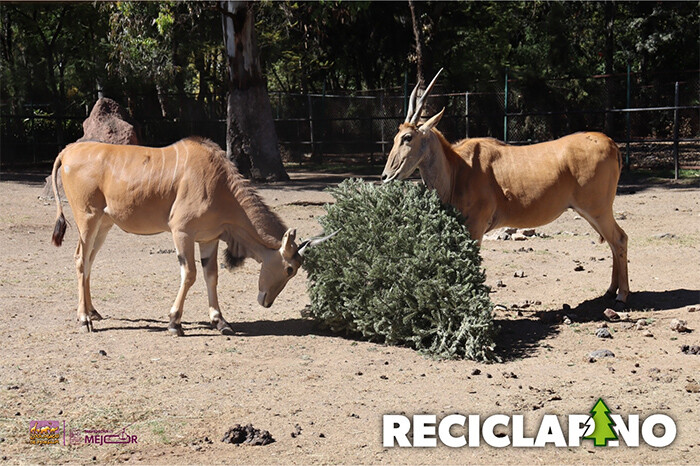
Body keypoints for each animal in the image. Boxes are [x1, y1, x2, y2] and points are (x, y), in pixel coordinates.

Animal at [49, 136, 334, 334]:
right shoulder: (182, 232)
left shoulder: (208, 238)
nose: (266, 302)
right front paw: (174, 323)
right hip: (87, 219)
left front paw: (220, 321)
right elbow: (190, 274)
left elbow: (211, 275)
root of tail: (67, 151)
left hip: (104, 225)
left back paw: (93, 312)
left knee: (89, 262)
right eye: (289, 269)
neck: (220, 184)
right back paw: (84, 319)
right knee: (80, 259)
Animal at [382, 69, 628, 306]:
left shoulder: (476, 226)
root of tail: (611, 144)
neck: (458, 168)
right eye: (395, 137)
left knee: (619, 239)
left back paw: (622, 294)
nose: (385, 176)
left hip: (598, 210)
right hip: (591, 213)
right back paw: (610, 290)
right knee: (614, 242)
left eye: (407, 137)